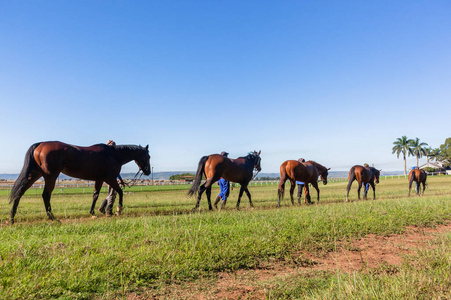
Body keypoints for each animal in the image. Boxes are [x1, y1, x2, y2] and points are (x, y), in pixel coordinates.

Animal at [8, 142, 151, 224]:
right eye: (148, 156)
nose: (148, 171)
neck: (113, 155)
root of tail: (40, 145)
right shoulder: (110, 179)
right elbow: (120, 191)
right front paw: (118, 209)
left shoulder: (100, 179)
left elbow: (95, 195)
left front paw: (92, 212)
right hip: (50, 176)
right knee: (45, 195)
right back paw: (52, 217)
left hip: (35, 174)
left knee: (20, 192)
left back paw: (11, 218)